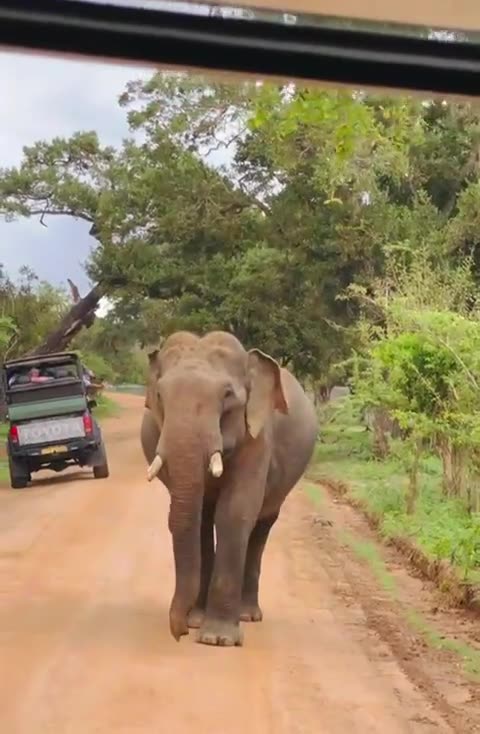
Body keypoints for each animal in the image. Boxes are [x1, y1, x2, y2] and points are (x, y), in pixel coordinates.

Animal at [140, 330, 317, 647]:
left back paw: (247, 614)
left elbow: (234, 512)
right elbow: (198, 517)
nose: (179, 632)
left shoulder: (258, 438)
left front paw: (217, 639)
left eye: (227, 396)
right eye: (159, 395)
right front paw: (197, 623)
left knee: (262, 526)